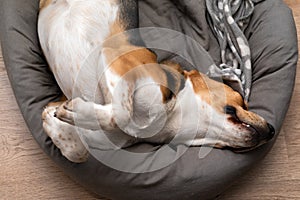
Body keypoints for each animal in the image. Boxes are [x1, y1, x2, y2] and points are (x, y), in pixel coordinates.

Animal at [38, 0, 276, 162]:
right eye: (242, 102)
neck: (171, 118)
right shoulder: (116, 56)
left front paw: (55, 116)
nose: (272, 130)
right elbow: (121, 114)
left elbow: (77, 150)